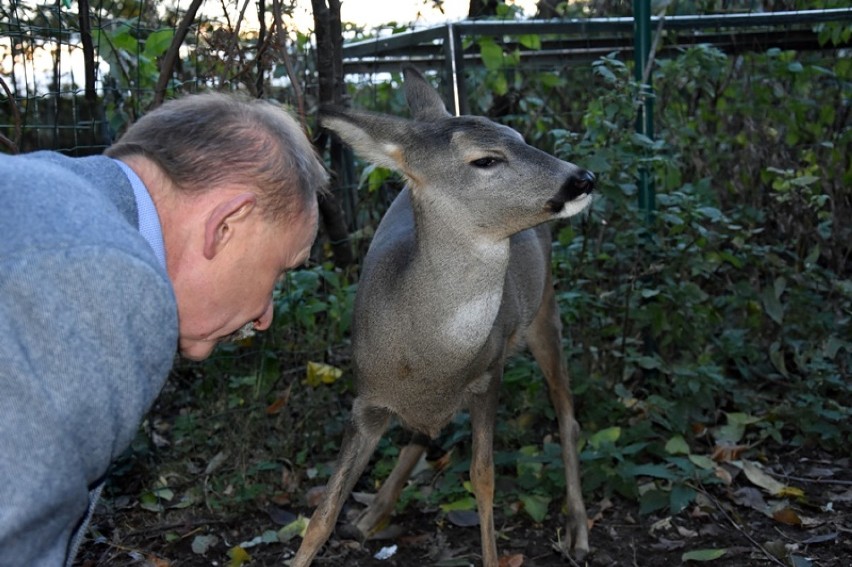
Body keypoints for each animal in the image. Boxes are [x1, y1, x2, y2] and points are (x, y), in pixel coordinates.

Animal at [296, 67, 596, 567]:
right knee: (421, 435)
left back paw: (578, 532)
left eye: (520, 137)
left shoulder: (489, 375)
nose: (583, 178)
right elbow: (323, 514)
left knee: (566, 415)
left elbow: (483, 479)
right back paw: (372, 514)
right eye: (486, 159)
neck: (426, 355)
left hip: (544, 310)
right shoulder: (366, 399)